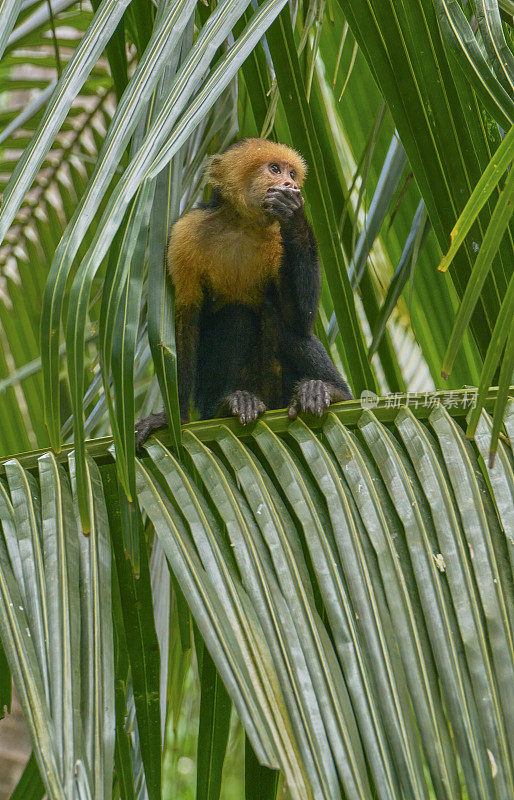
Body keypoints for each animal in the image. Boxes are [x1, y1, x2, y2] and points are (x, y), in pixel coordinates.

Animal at [135, 138, 352, 450]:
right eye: (274, 169)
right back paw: (233, 403)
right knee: (236, 315)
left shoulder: (276, 236)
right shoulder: (184, 234)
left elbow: (298, 319)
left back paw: (330, 392)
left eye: (292, 173)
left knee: (278, 320)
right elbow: (186, 318)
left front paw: (295, 216)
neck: (241, 225)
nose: (290, 183)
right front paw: (173, 418)